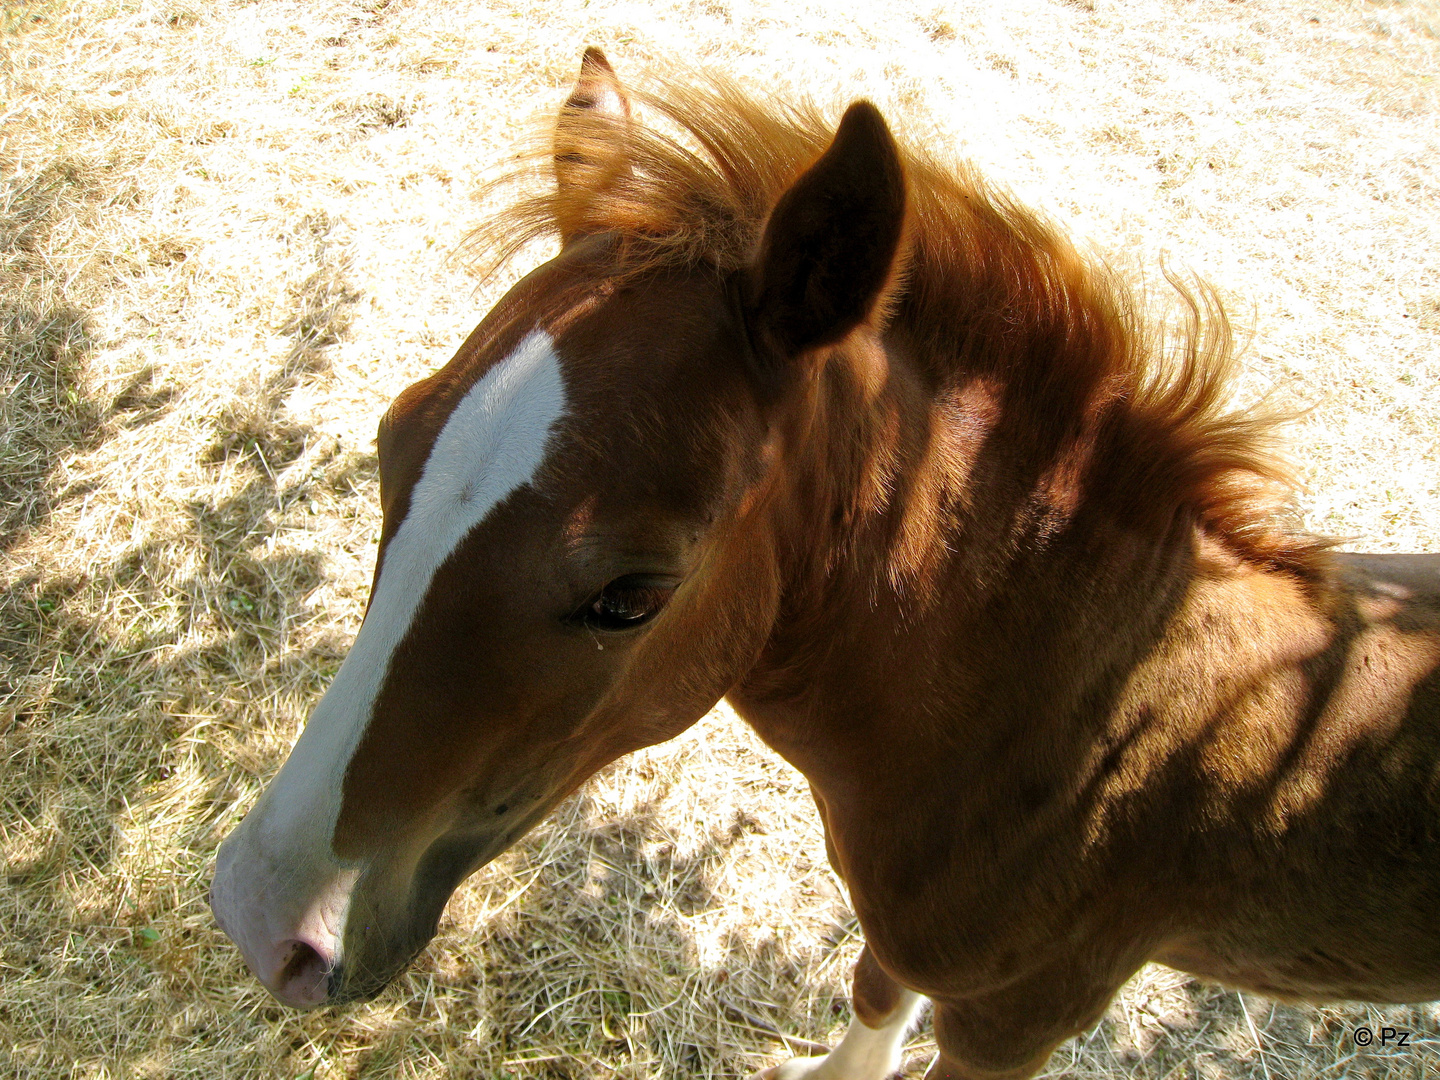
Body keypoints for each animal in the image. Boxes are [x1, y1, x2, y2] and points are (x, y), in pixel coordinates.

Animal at [210, 52, 1440, 1080]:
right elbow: (873, 990)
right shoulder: (900, 936)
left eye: (629, 596)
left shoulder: (1017, 1020)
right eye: (390, 441)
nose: (263, 917)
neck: (1085, 718)